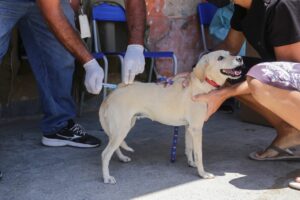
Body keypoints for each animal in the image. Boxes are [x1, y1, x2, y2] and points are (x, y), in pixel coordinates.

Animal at [99, 50, 243, 184]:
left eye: (230, 53)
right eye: (220, 58)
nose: (240, 58)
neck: (201, 84)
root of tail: (113, 93)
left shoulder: (189, 127)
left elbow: (189, 148)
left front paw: (191, 163)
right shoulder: (196, 128)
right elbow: (199, 154)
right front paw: (202, 174)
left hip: (123, 127)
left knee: (114, 146)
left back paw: (122, 158)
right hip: (122, 129)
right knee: (105, 154)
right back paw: (107, 177)